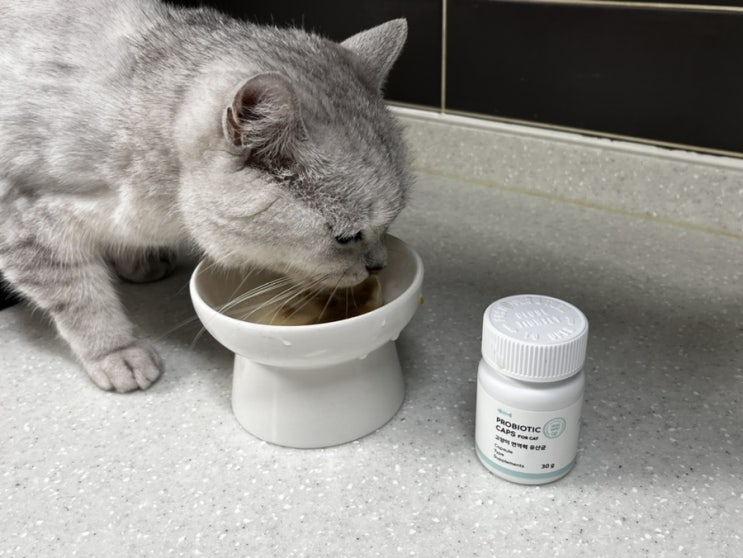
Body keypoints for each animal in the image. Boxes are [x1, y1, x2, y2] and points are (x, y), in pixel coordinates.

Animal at [0, 0, 411, 392]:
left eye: (392, 222)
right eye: (346, 237)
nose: (380, 264)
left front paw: (137, 260)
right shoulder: (26, 221)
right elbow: (81, 298)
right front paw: (117, 352)